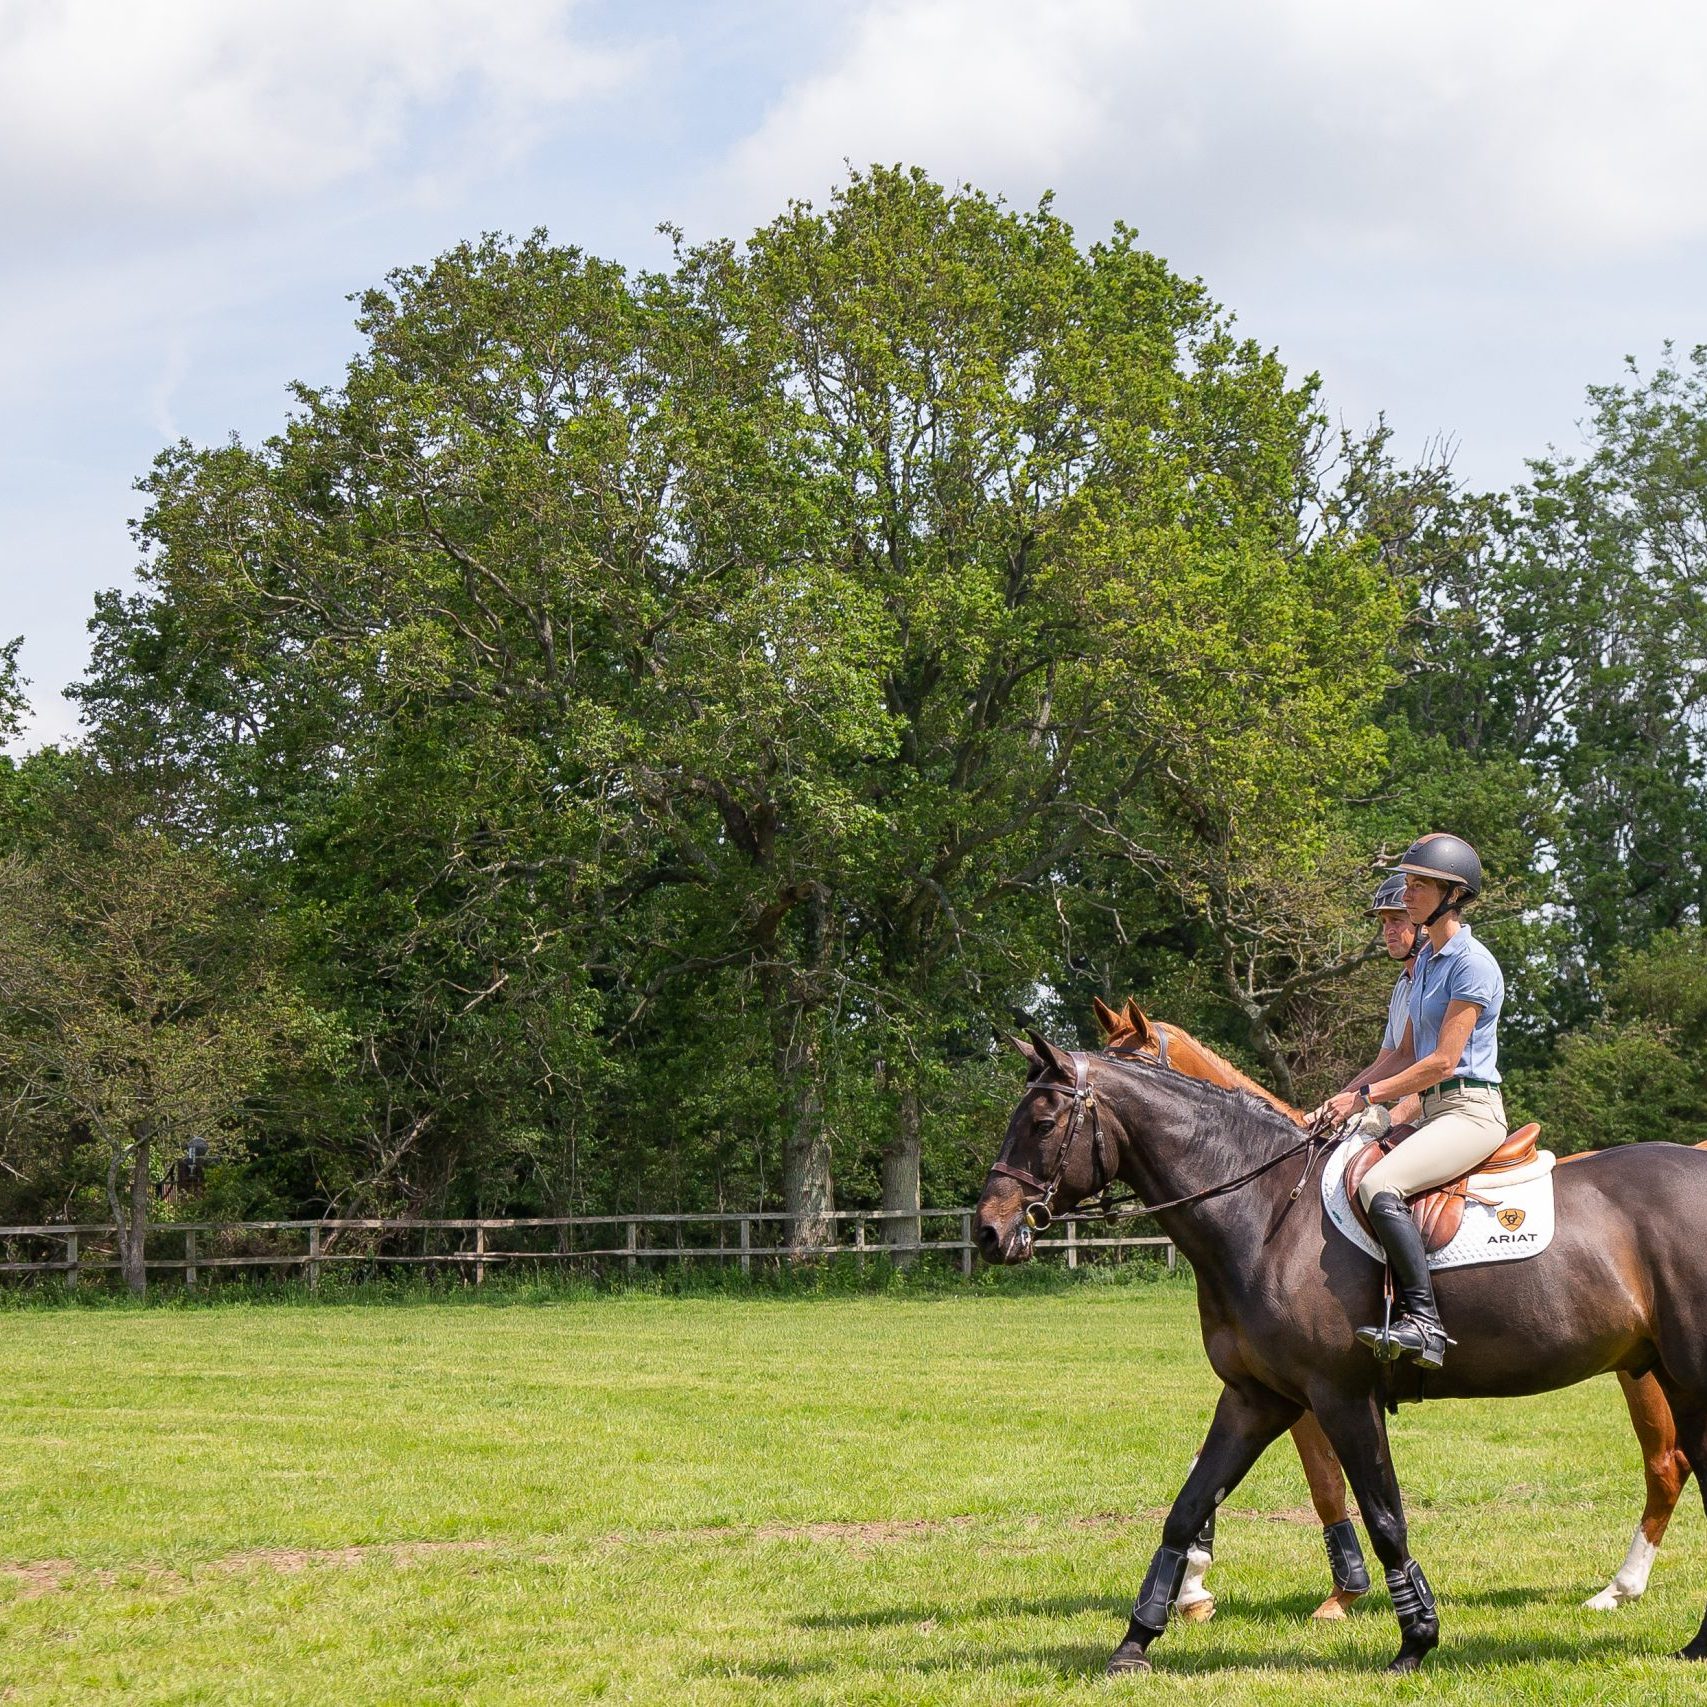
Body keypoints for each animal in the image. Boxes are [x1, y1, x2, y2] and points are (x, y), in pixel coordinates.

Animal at [975, 1032, 1707, 1675]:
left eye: (1042, 1122)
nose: (987, 1230)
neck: (1265, 1213)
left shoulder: (1340, 1397)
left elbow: (1382, 1516)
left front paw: (1414, 1641)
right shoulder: (1255, 1398)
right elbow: (1187, 1508)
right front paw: (1137, 1640)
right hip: (1671, 1375)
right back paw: (1690, 1642)